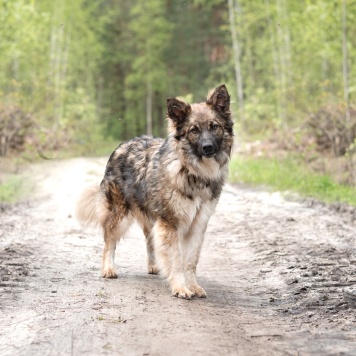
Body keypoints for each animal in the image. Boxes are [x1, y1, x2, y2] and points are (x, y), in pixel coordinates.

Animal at [76, 83, 234, 298]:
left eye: (214, 126)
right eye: (194, 130)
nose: (208, 147)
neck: (192, 171)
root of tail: (122, 145)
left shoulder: (197, 224)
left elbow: (190, 261)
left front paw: (193, 285)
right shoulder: (171, 223)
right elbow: (176, 259)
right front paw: (180, 287)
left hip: (150, 216)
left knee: (150, 241)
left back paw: (153, 266)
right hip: (119, 215)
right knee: (109, 242)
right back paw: (108, 269)